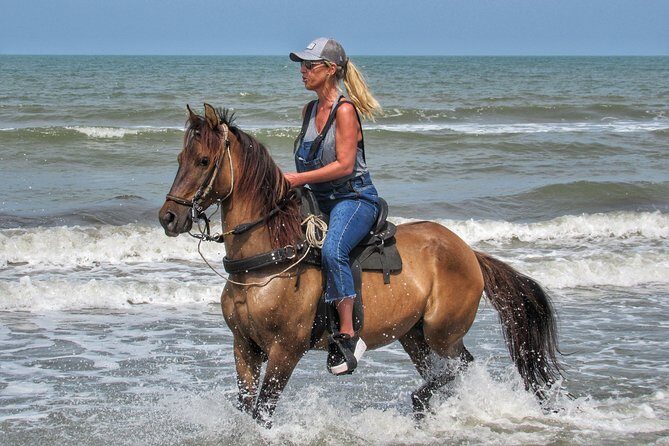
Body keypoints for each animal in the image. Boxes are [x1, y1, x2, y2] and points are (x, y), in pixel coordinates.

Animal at [159, 104, 561, 427]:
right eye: (179, 160)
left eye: (203, 161)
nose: (168, 218)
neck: (265, 261)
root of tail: (468, 253)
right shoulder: (243, 347)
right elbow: (246, 408)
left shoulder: (284, 351)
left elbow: (262, 412)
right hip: (414, 336)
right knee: (446, 372)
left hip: (442, 332)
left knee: (461, 366)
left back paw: (419, 400)